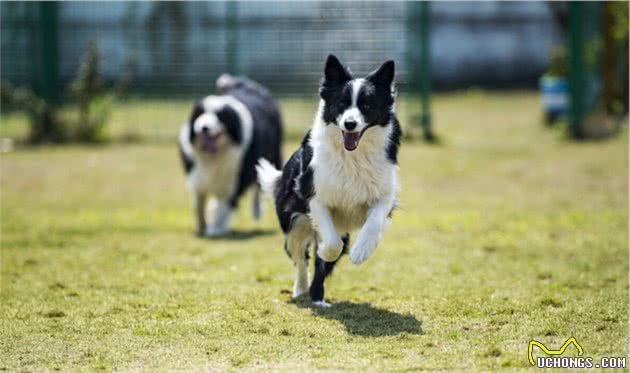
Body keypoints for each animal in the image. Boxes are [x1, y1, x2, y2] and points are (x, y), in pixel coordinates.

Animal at [180, 73, 284, 234]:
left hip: (272, 155)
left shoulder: (234, 179)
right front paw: (202, 226)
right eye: (201, 113)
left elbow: (224, 206)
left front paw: (215, 230)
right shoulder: (198, 177)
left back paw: (256, 212)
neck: (214, 155)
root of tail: (248, 86)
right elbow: (199, 204)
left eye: (219, 116)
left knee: (259, 187)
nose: (204, 128)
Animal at [258, 55, 402, 306]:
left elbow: (373, 222)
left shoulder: (384, 194)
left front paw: (361, 251)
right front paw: (325, 250)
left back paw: (317, 297)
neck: (354, 156)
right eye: (341, 103)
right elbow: (330, 244)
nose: (350, 124)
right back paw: (301, 289)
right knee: (300, 257)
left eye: (367, 105)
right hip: (292, 223)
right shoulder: (315, 195)